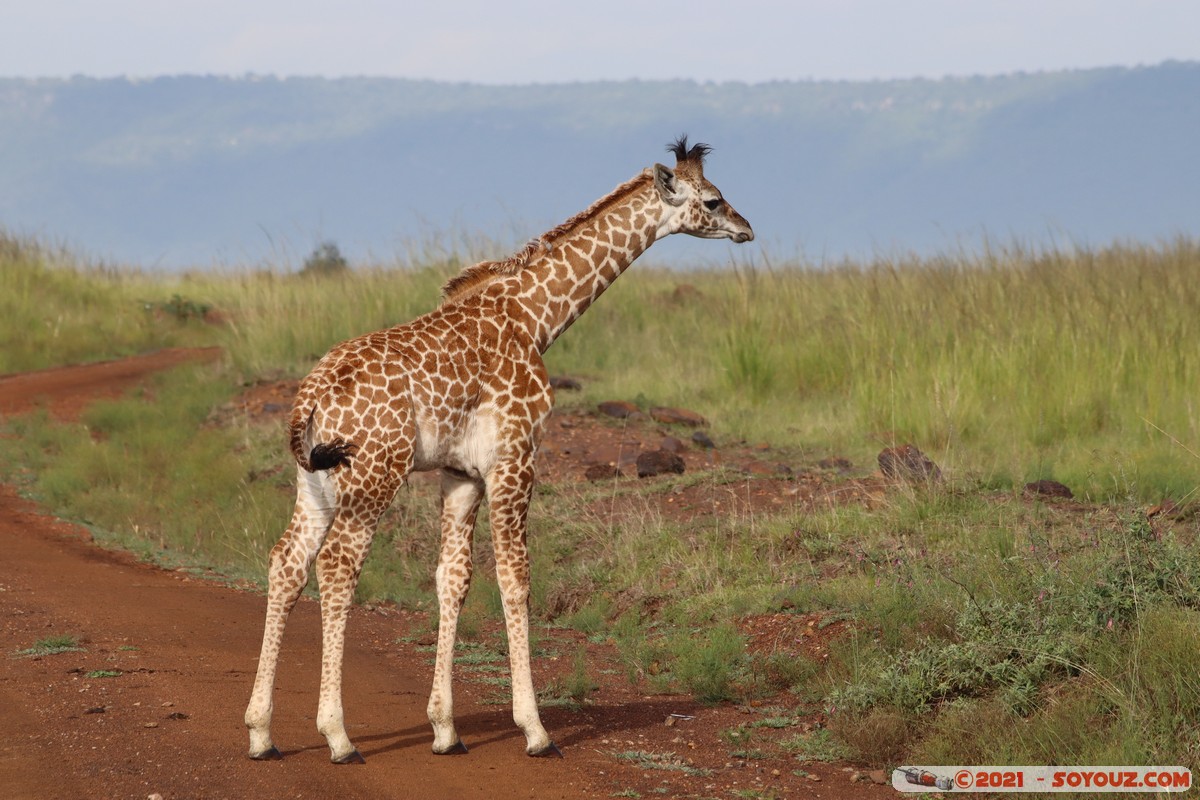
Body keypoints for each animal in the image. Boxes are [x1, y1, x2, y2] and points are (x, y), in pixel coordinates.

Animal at [241, 136, 748, 762]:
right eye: (714, 199)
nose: (747, 228)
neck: (537, 317)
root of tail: (310, 396)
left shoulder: (462, 474)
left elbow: (452, 579)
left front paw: (445, 729)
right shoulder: (515, 459)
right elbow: (515, 577)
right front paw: (535, 729)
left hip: (315, 481)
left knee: (287, 562)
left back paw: (262, 734)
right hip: (373, 475)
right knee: (337, 566)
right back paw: (338, 736)